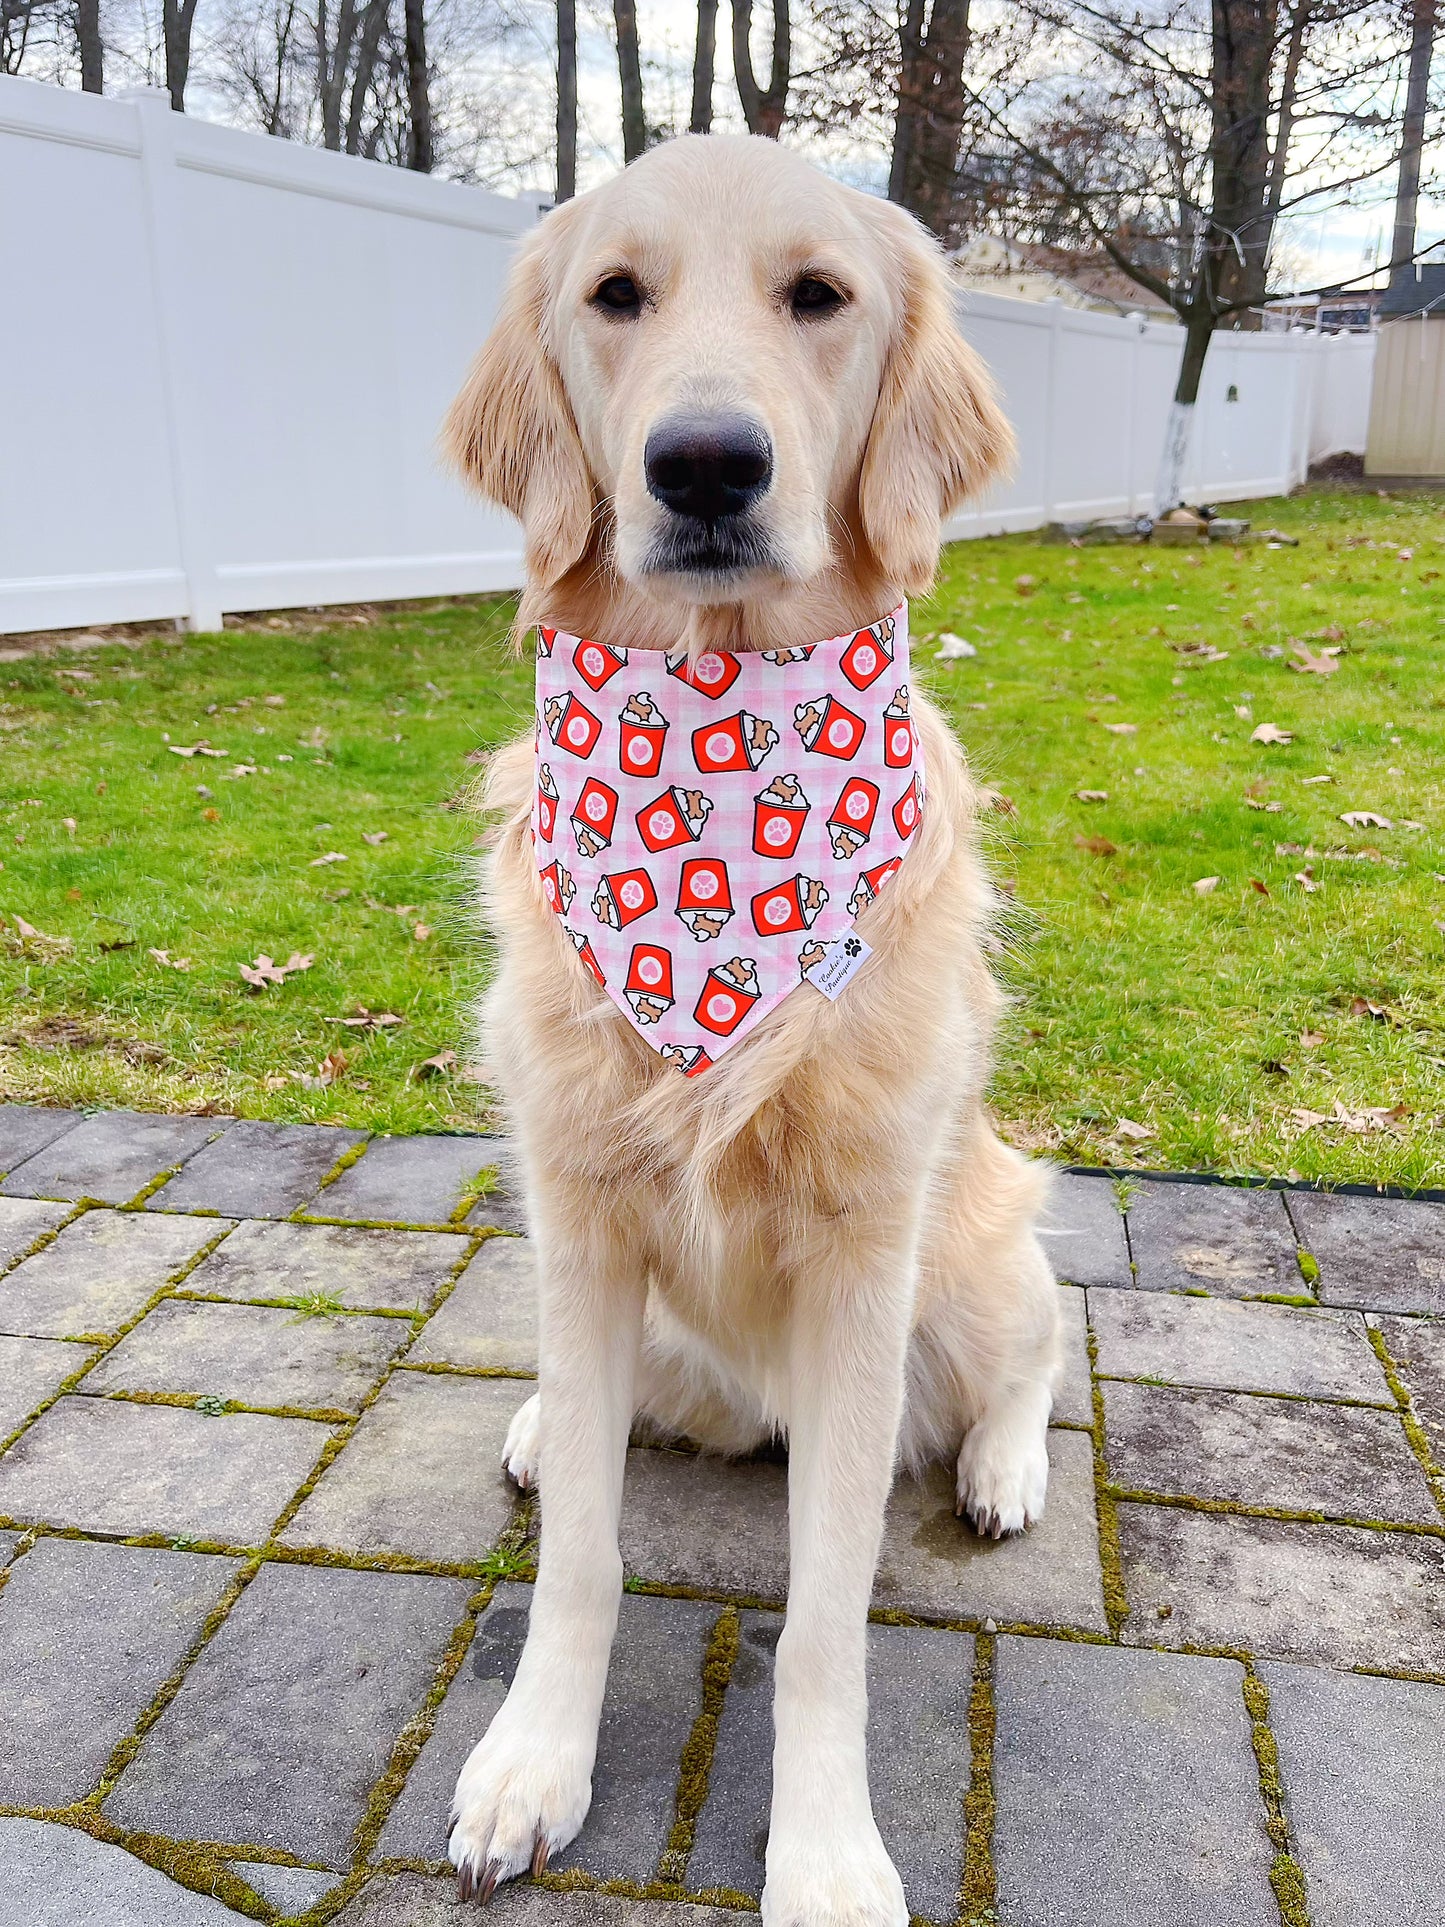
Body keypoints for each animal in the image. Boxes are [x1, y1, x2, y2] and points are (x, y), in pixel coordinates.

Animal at [441, 135, 1063, 1927]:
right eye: (614, 295)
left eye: (819, 295)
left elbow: (827, 1622)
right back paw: (541, 1423)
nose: (705, 466)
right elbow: (582, 1548)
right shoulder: (579, 1214)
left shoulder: (864, 1261)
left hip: (973, 1255)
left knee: (1044, 1344)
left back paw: (1005, 1466)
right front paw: (535, 1761)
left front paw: (830, 1854)